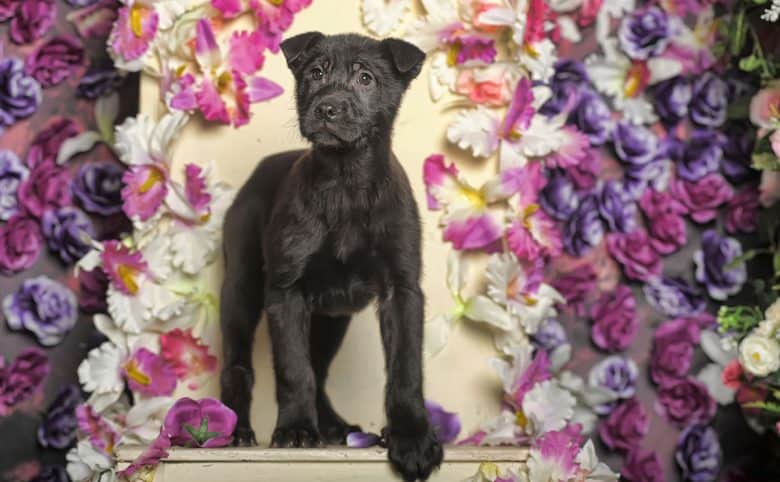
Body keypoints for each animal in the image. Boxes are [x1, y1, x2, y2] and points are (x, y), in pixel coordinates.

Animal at [218, 32, 444, 480]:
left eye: (365, 78)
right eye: (315, 73)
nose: (327, 107)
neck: (346, 182)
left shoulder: (402, 290)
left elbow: (406, 369)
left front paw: (412, 438)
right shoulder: (286, 290)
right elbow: (293, 369)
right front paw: (294, 429)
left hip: (332, 316)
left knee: (320, 370)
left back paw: (333, 426)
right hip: (241, 288)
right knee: (238, 365)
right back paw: (235, 429)